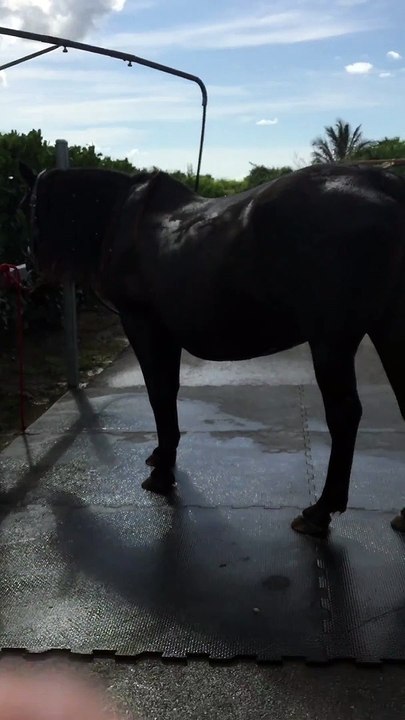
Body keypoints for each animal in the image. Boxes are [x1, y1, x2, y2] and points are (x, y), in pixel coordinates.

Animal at [19, 161, 405, 538]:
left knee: (344, 415)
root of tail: (384, 185)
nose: (28, 272)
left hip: (332, 339)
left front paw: (162, 474)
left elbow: (159, 393)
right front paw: (162, 455)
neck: (120, 218)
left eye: (26, 206)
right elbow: (168, 391)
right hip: (387, 328)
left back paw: (320, 510)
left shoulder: (142, 325)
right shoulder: (164, 333)